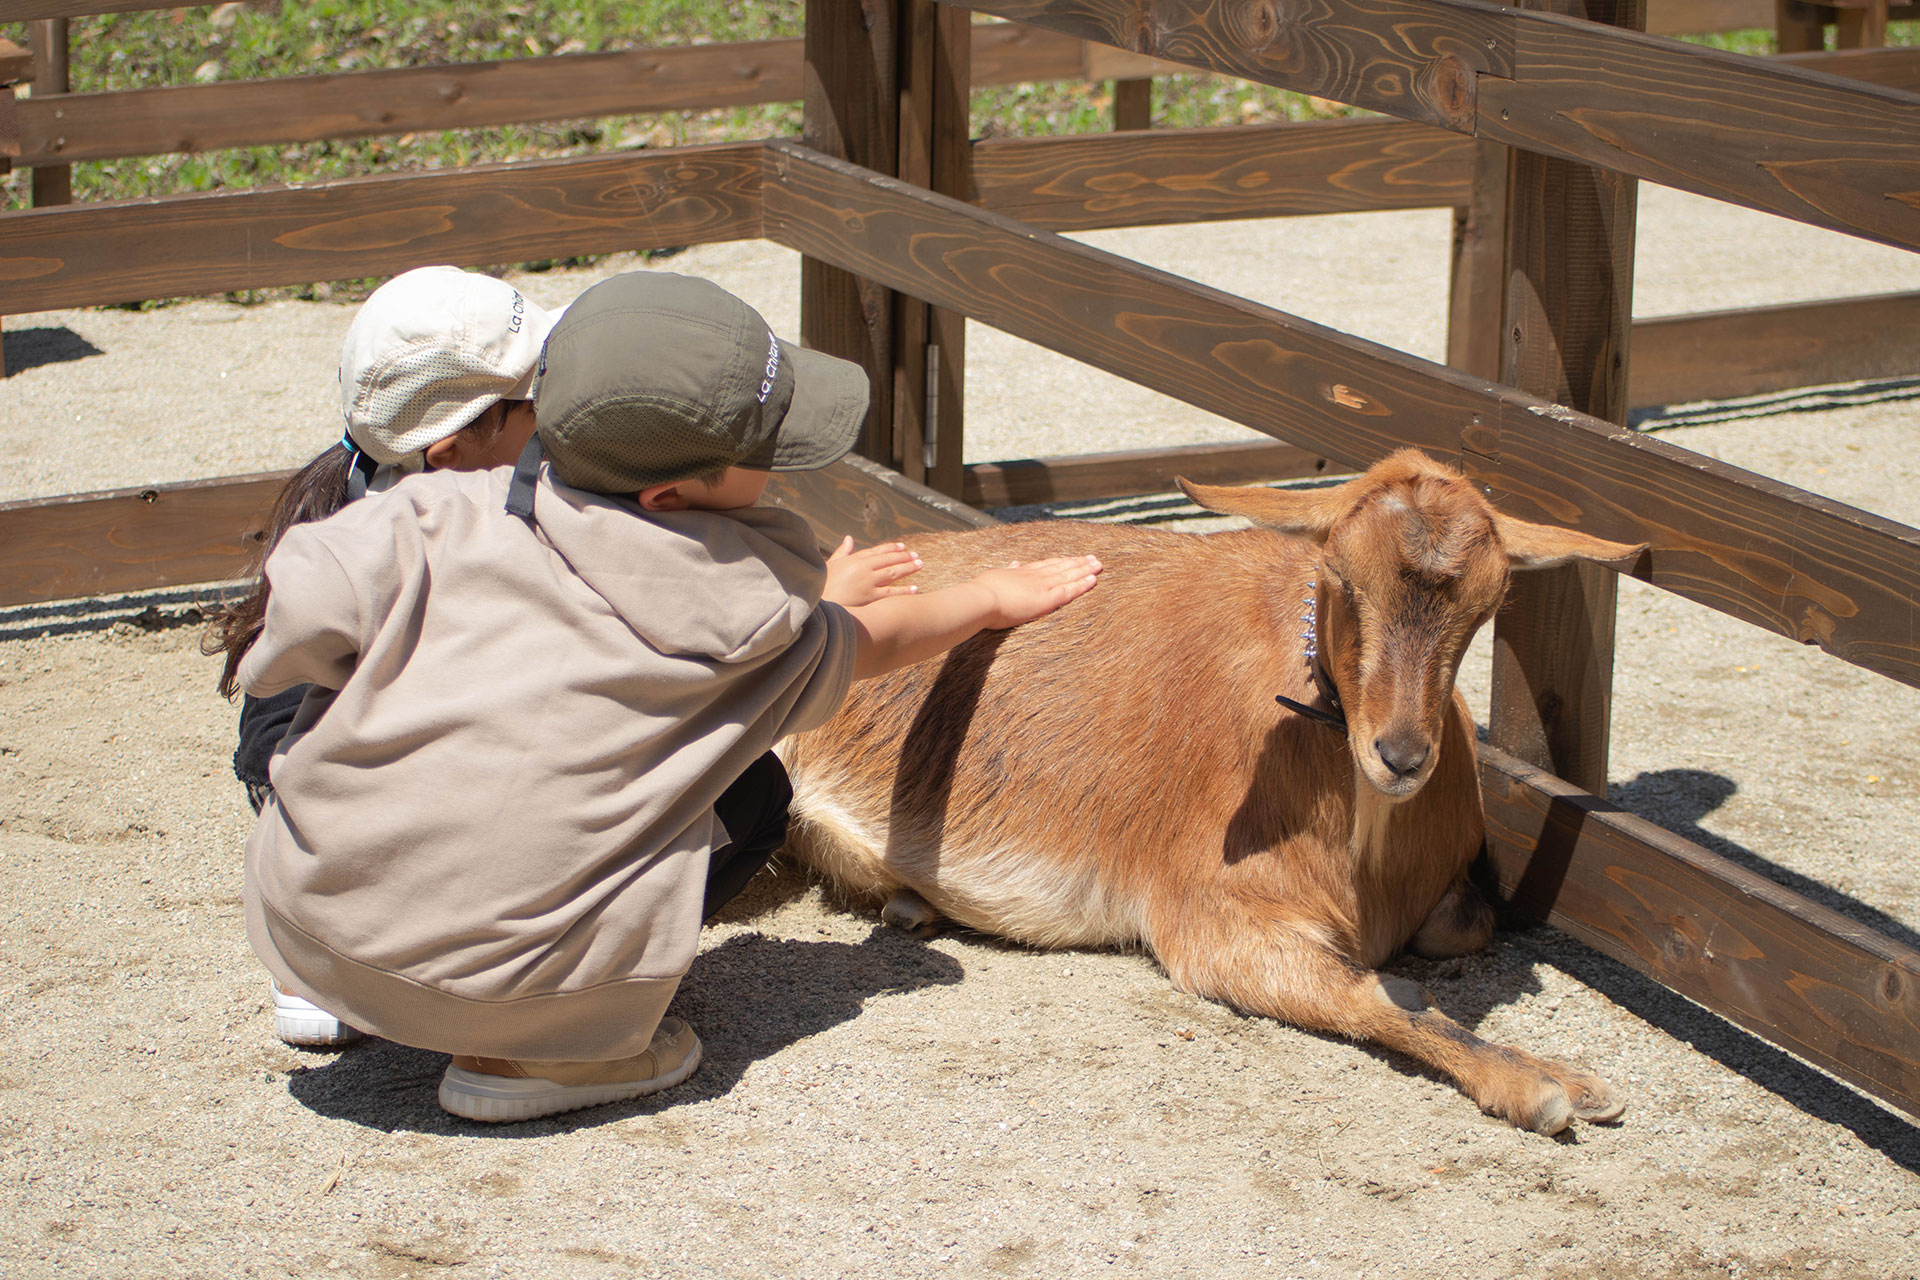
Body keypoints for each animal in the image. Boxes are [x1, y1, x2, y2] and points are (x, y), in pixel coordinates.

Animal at [779, 450, 1651, 1128]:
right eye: (1341, 577)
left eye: (1488, 606)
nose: (1400, 755)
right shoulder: (1202, 913)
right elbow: (1370, 995)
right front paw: (1543, 1084)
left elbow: (1466, 923)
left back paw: (909, 903)